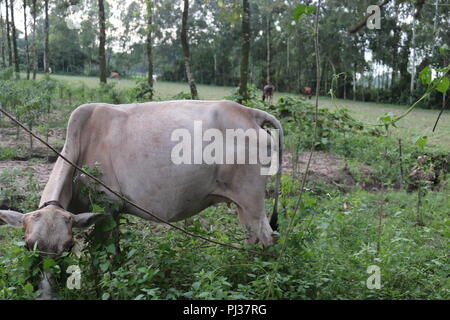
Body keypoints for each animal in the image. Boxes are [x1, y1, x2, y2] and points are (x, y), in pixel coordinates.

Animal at [0, 106, 276, 258]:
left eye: (68, 247)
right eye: (29, 246)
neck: (80, 147)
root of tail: (250, 113)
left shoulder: (108, 208)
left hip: (251, 201)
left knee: (267, 238)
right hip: (241, 206)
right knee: (252, 237)